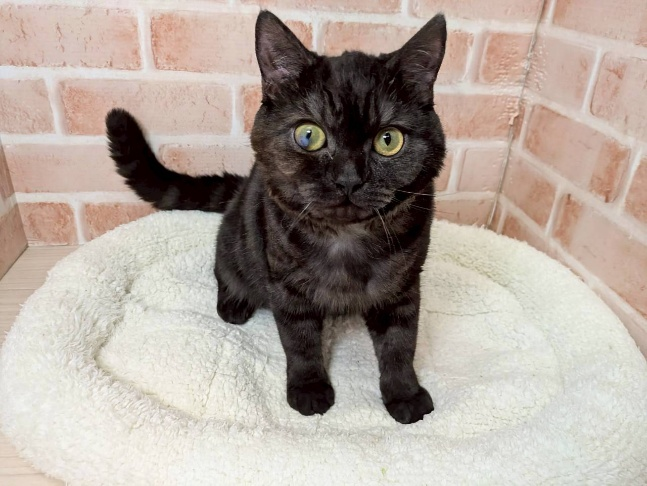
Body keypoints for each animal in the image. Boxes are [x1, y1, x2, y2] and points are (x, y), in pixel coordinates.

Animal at [106, 10, 446, 424]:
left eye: (389, 140)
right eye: (308, 136)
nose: (349, 179)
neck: (345, 240)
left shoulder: (402, 288)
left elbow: (400, 345)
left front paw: (405, 396)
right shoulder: (288, 288)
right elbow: (300, 344)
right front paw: (310, 392)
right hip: (239, 241)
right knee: (223, 268)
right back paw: (233, 306)